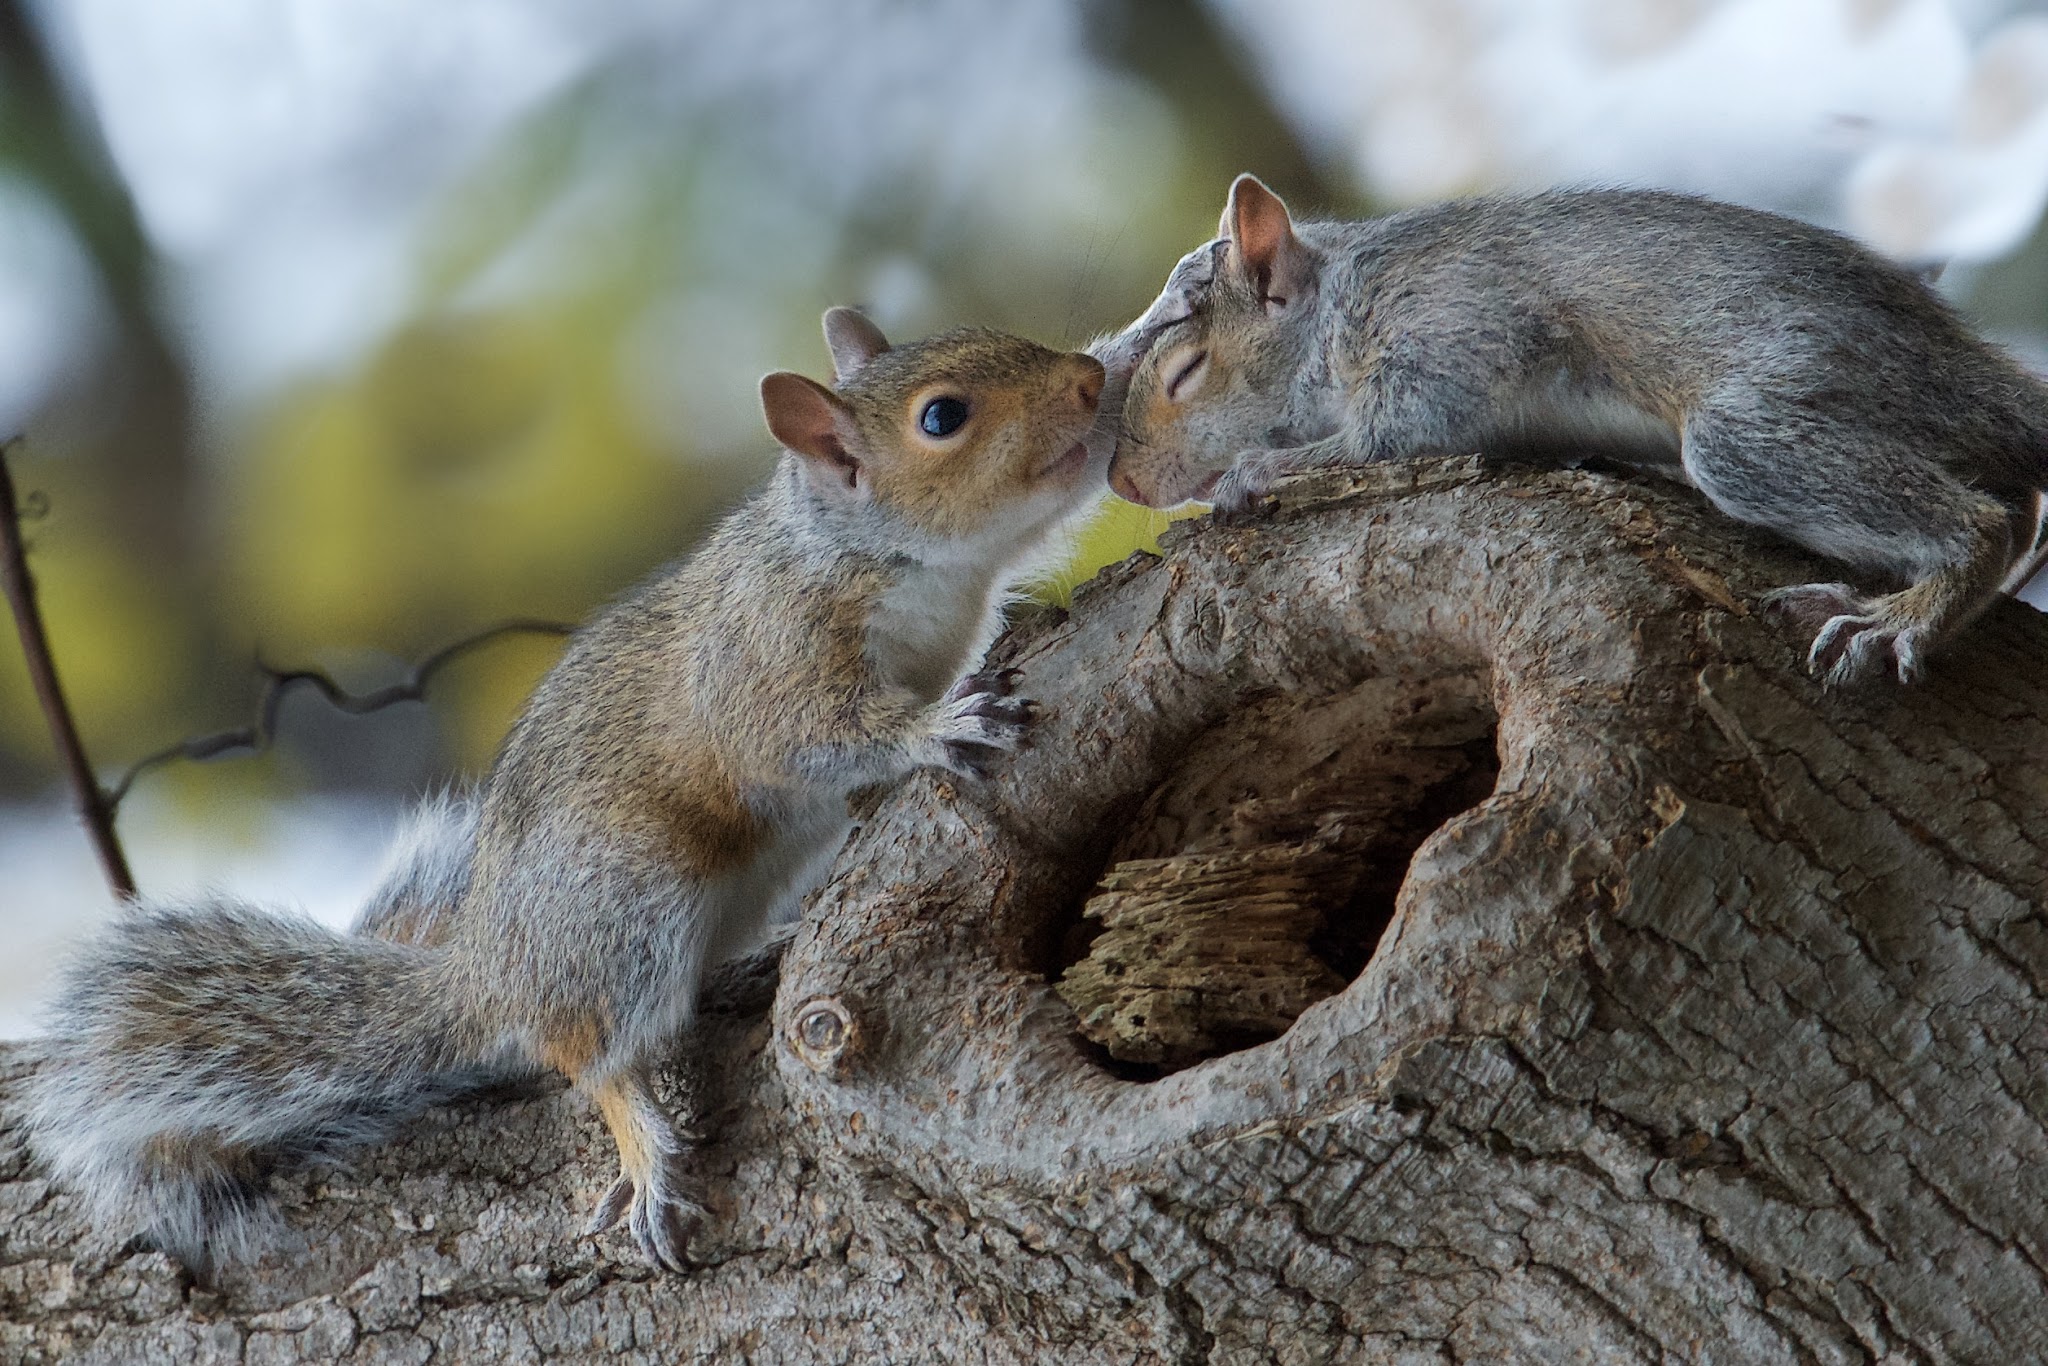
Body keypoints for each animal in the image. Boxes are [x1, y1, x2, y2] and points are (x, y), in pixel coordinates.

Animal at [26, 309, 1109, 1277]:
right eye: (943, 417)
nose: (1090, 381)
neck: (871, 555)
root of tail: (495, 970)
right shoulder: (771, 657)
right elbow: (813, 735)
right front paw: (937, 729)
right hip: (628, 903)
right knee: (585, 1050)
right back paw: (644, 1145)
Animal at [1090, 174, 2048, 686]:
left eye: (1185, 372)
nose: (1123, 483)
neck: (1336, 304)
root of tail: (1966, 375)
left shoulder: (1450, 328)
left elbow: (1394, 432)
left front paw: (1255, 471)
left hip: (1763, 421)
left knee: (1986, 523)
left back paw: (1909, 612)